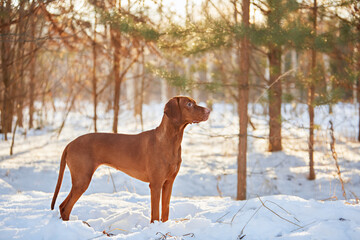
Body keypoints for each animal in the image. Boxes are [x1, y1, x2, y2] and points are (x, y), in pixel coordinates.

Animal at [49, 96, 210, 223]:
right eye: (189, 104)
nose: (209, 110)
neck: (170, 141)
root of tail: (70, 143)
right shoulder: (156, 184)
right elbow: (155, 214)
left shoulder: (168, 183)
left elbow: (165, 212)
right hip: (82, 179)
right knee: (66, 207)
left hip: (79, 180)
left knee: (62, 206)